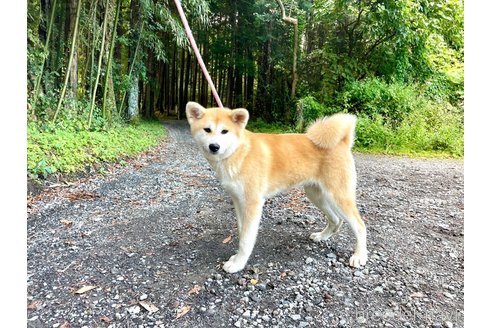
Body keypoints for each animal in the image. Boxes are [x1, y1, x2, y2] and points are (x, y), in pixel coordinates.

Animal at [186, 101, 368, 272]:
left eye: (225, 131)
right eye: (207, 130)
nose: (214, 146)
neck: (239, 152)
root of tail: (343, 141)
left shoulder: (253, 203)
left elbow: (246, 239)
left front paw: (238, 264)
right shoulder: (238, 201)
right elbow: (242, 232)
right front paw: (237, 258)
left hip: (338, 196)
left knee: (360, 226)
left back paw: (359, 256)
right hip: (316, 195)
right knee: (336, 220)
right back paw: (322, 236)